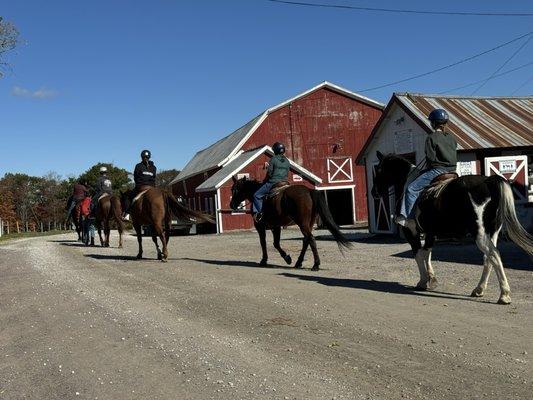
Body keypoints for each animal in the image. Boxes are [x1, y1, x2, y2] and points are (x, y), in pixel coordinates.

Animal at [370, 152, 532, 304]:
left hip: (479, 234)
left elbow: (418, 254)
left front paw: (423, 281)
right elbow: (427, 253)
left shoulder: (411, 231)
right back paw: (479, 289)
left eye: (379, 170)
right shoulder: (431, 233)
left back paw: (504, 295)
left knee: (494, 255)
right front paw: (431, 279)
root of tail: (488, 181)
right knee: (488, 258)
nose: (373, 192)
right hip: (492, 232)